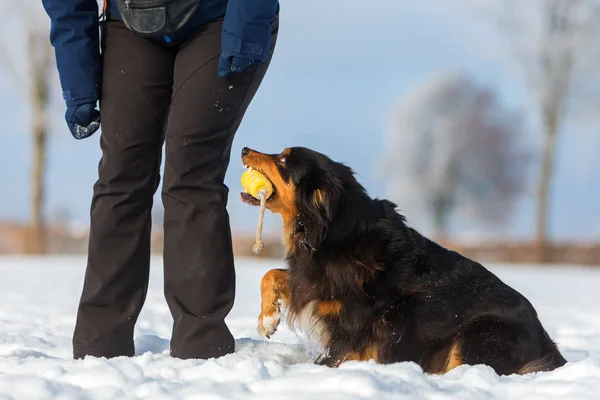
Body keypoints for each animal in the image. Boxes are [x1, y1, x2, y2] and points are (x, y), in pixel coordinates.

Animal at [240, 146, 568, 376]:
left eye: (283, 159)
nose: (243, 149)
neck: (331, 230)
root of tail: (548, 345)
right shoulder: (312, 281)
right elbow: (271, 273)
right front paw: (267, 319)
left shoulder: (350, 331)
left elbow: (323, 360)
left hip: (480, 335)